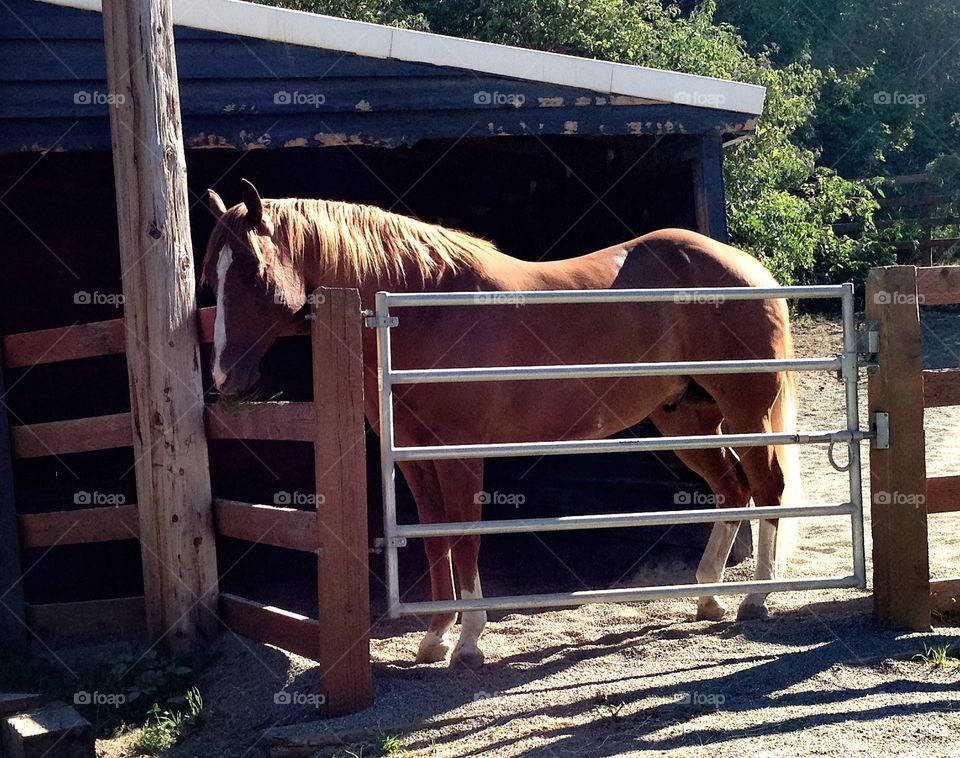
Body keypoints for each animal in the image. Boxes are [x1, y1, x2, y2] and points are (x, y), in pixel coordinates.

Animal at [202, 179, 802, 670]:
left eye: (252, 272)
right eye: (212, 277)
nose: (225, 377)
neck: (422, 309)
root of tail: (748, 267)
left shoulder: (462, 453)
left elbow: (465, 536)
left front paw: (468, 641)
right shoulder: (415, 457)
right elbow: (434, 537)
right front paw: (436, 637)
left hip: (748, 413)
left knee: (767, 488)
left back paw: (755, 599)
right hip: (686, 419)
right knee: (732, 489)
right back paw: (708, 597)